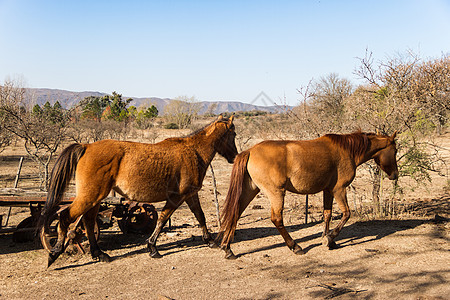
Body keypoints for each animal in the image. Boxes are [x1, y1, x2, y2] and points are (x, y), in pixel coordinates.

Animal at [218, 132, 398, 260]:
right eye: (395, 150)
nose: (395, 175)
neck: (347, 150)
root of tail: (249, 151)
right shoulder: (339, 190)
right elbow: (346, 214)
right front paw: (330, 238)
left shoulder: (328, 190)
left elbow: (327, 215)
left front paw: (328, 239)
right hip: (276, 193)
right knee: (277, 219)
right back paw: (295, 246)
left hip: (250, 190)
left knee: (235, 214)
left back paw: (227, 249)